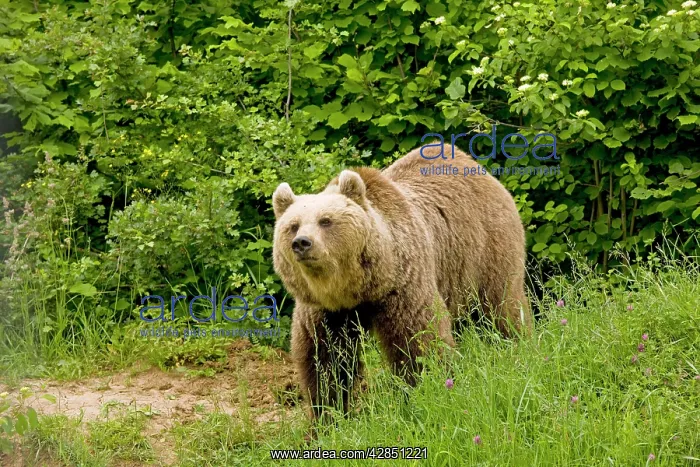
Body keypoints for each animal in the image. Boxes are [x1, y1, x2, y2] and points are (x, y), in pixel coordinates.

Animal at [271, 144, 532, 422]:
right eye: (293, 225)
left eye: (326, 220)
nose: (302, 243)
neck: (356, 288)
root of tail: (477, 168)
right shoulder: (324, 312)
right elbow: (324, 358)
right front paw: (327, 416)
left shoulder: (403, 285)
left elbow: (418, 341)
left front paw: (425, 395)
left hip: (488, 246)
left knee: (502, 306)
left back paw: (517, 348)